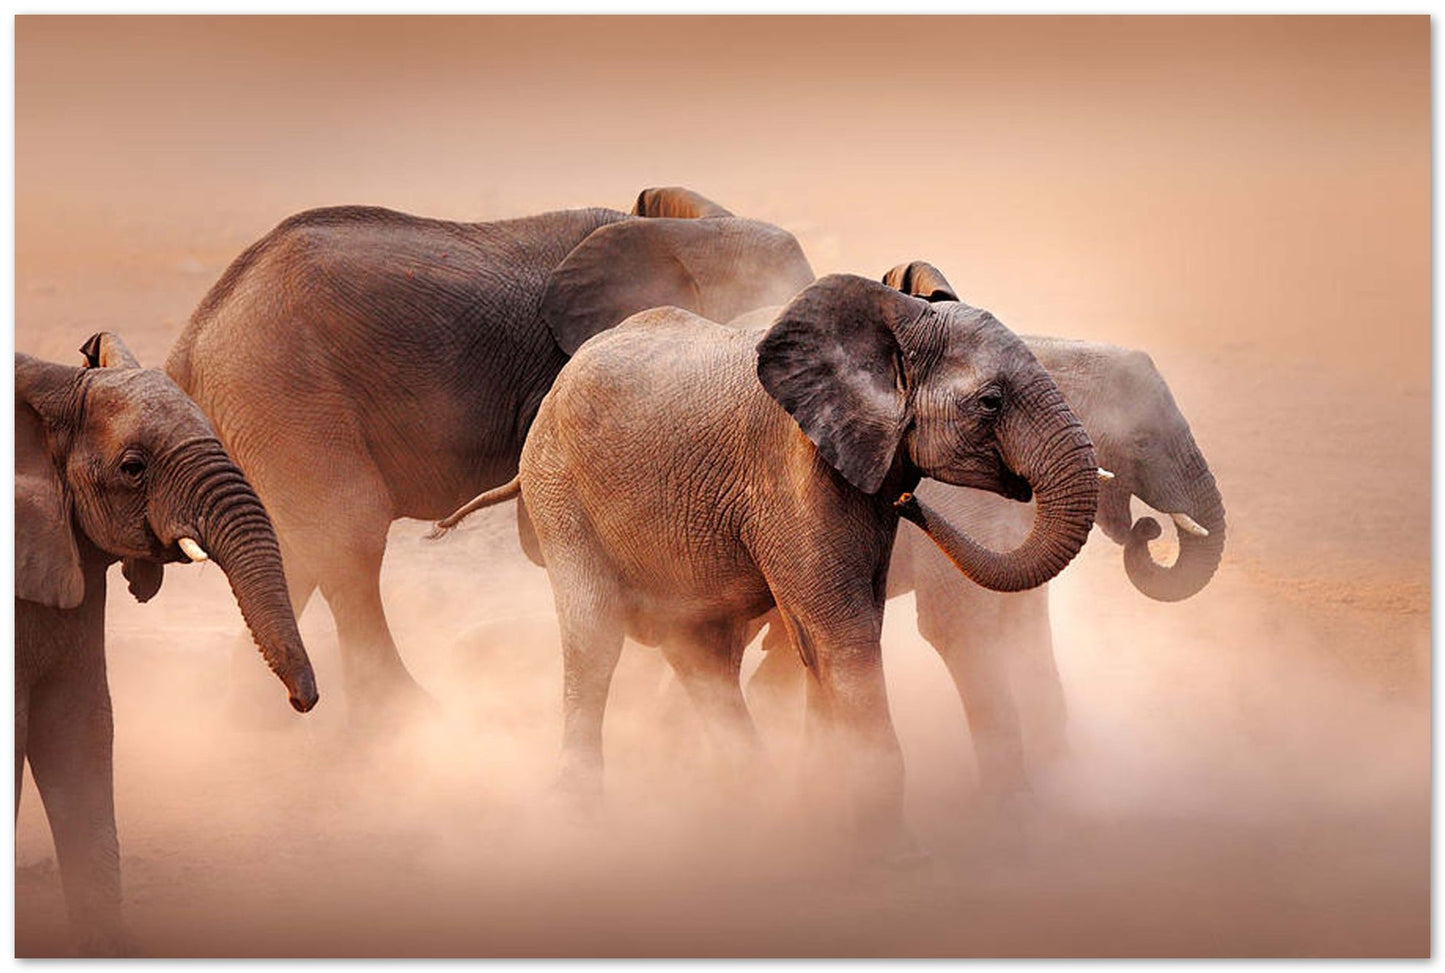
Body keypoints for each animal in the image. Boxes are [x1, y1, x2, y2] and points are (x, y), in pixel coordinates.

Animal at [165, 186, 815, 722]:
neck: (685, 233)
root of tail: (189, 343)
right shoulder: (568, 373)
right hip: (283, 388)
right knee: (346, 535)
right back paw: (405, 719)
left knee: (295, 548)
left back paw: (256, 718)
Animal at [433, 273, 1100, 852]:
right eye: (990, 402)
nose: (912, 503)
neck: (893, 318)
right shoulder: (789, 471)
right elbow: (842, 632)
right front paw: (893, 854)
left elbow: (829, 637)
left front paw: (826, 816)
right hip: (559, 490)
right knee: (594, 639)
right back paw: (584, 816)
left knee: (699, 650)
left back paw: (746, 803)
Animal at [747, 261, 1227, 799]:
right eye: (1141, 442)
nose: (1147, 530)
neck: (1046, 351)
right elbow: (960, 626)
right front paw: (1014, 804)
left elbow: (1025, 625)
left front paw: (1062, 779)